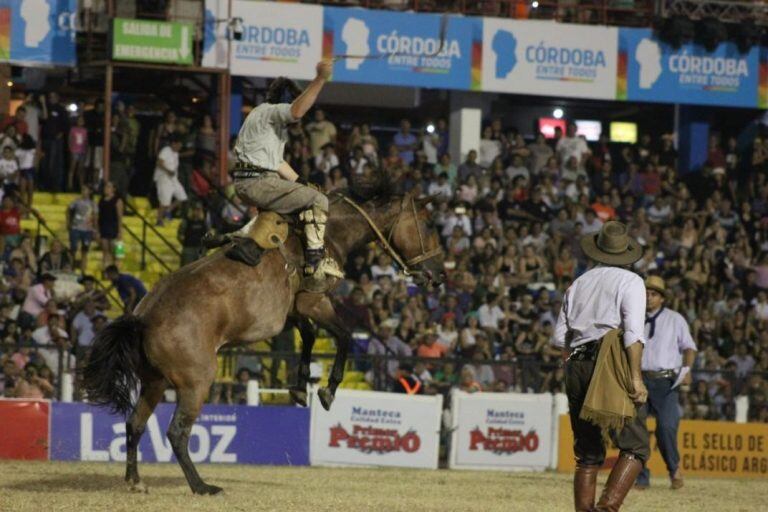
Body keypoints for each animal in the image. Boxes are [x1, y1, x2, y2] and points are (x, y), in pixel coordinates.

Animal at [82, 182, 444, 494]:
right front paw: (326, 390)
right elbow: (342, 336)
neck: (326, 234)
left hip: (154, 381)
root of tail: (143, 318)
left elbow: (309, 336)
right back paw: (202, 486)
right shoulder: (314, 301)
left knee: (135, 424)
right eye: (428, 226)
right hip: (196, 382)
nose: (440, 275)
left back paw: (135, 481)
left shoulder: (293, 310)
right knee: (177, 432)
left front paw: (300, 386)